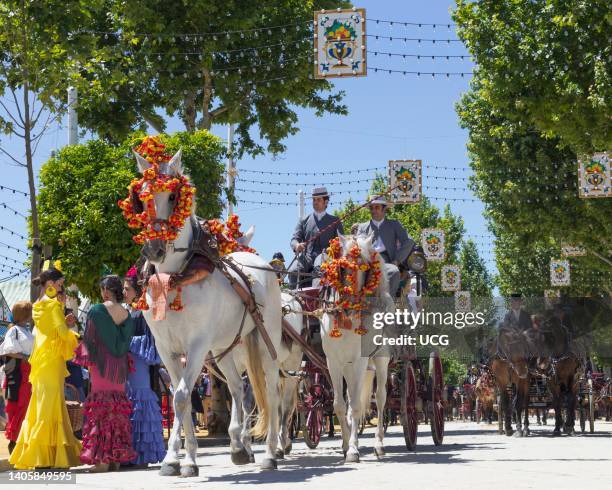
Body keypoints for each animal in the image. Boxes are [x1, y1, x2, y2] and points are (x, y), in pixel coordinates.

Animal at [133, 151, 284, 476]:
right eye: (141, 196)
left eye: (173, 196)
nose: (153, 249)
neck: (175, 277)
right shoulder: (166, 349)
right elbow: (181, 399)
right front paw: (180, 459)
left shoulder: (197, 346)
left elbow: (180, 397)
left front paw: (179, 459)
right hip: (224, 348)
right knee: (238, 388)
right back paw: (238, 446)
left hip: (267, 341)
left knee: (271, 392)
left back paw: (269, 454)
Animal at [318, 235, 394, 462]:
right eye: (342, 267)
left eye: (365, 268)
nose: (349, 305)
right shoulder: (333, 362)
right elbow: (339, 405)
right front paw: (345, 445)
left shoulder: (360, 361)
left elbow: (356, 404)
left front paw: (352, 449)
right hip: (348, 367)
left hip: (380, 360)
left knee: (380, 398)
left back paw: (378, 445)